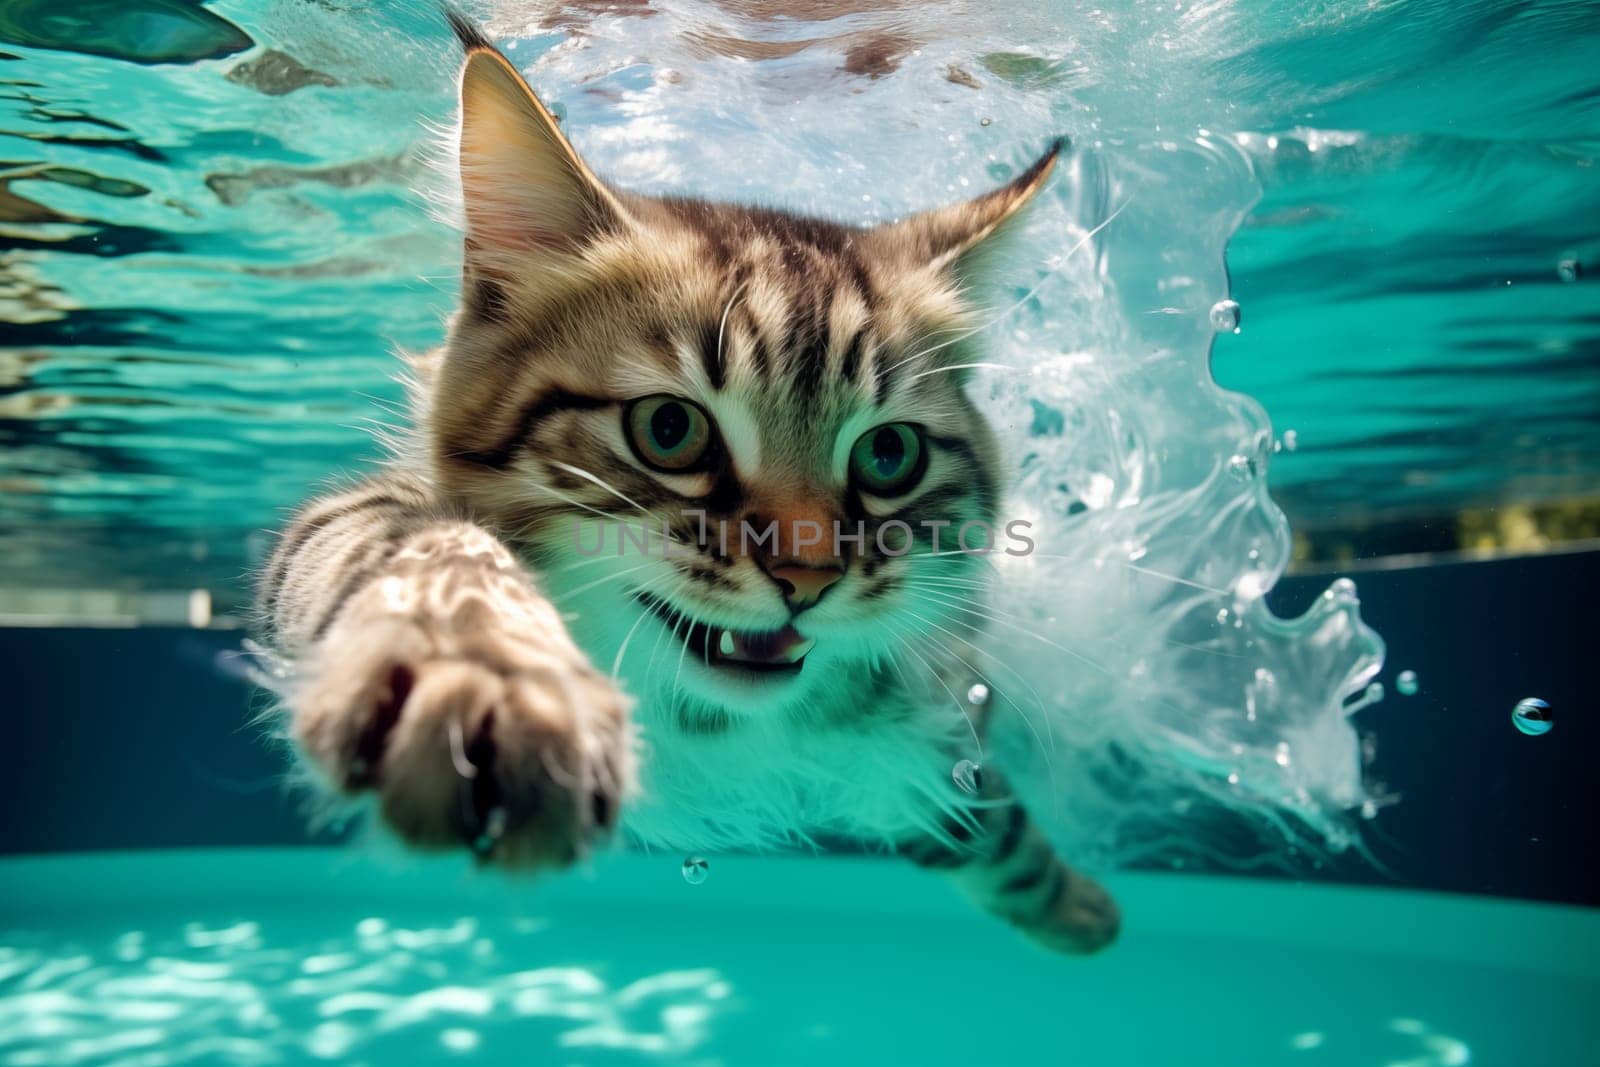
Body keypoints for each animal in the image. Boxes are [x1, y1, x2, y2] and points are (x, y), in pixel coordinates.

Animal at [256, 10, 1120, 959]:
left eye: (888, 455)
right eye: (670, 431)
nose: (808, 577)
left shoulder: (914, 722)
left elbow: (979, 813)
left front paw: (1077, 907)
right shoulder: (357, 516)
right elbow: (430, 561)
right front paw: (491, 682)